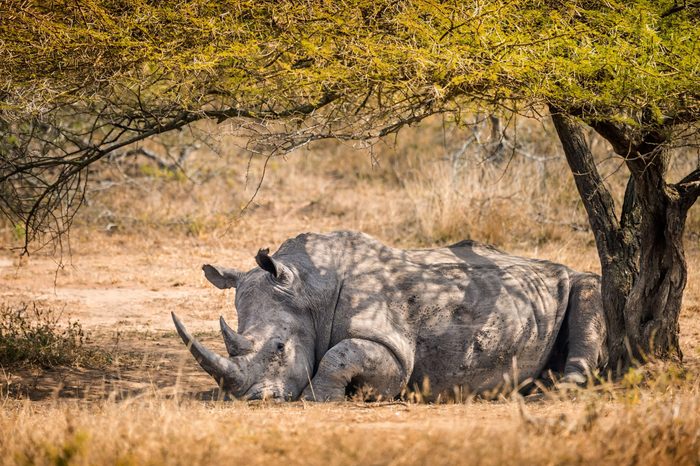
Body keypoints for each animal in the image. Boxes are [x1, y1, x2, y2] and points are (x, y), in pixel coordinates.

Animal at [174, 231, 608, 402]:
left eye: (279, 348)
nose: (253, 398)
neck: (308, 289)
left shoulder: (394, 348)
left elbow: (341, 356)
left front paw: (319, 397)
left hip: (573, 278)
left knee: (588, 288)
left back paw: (559, 389)